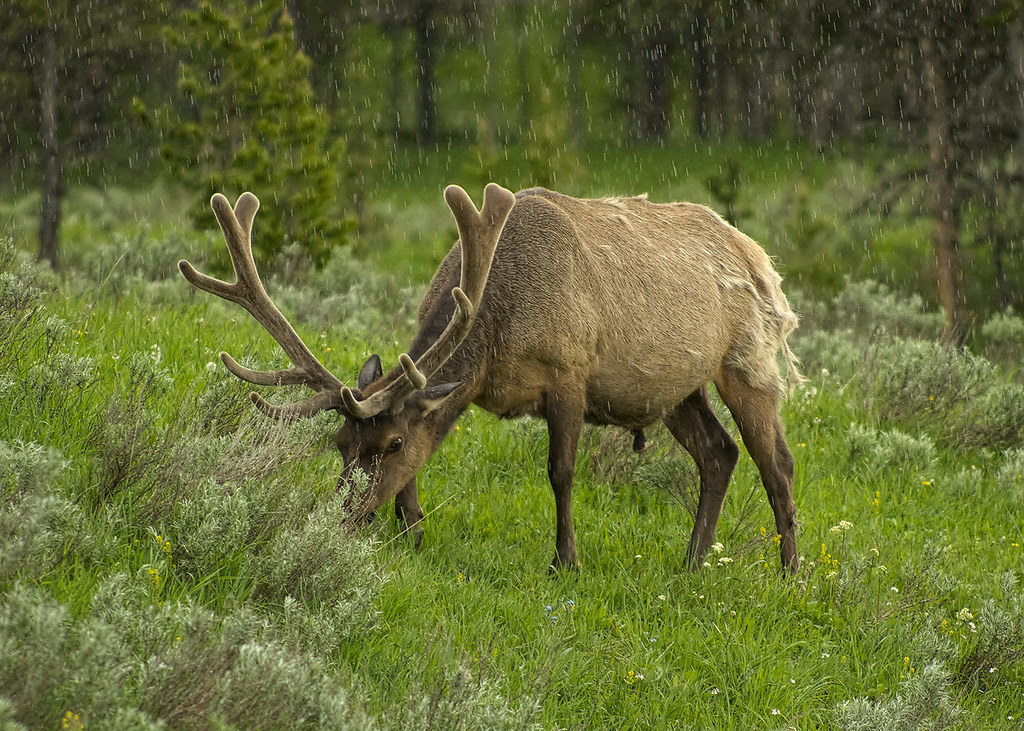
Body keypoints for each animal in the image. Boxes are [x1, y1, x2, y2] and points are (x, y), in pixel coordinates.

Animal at [179, 183, 805, 573]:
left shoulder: (570, 372)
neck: (497, 331)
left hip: (748, 360)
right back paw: (691, 564)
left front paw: (565, 561)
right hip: (676, 388)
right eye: (339, 443)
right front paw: (413, 534)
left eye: (392, 442)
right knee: (718, 452)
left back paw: (789, 575)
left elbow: (561, 472)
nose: (338, 520)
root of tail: (760, 259)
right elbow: (422, 463)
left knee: (777, 465)